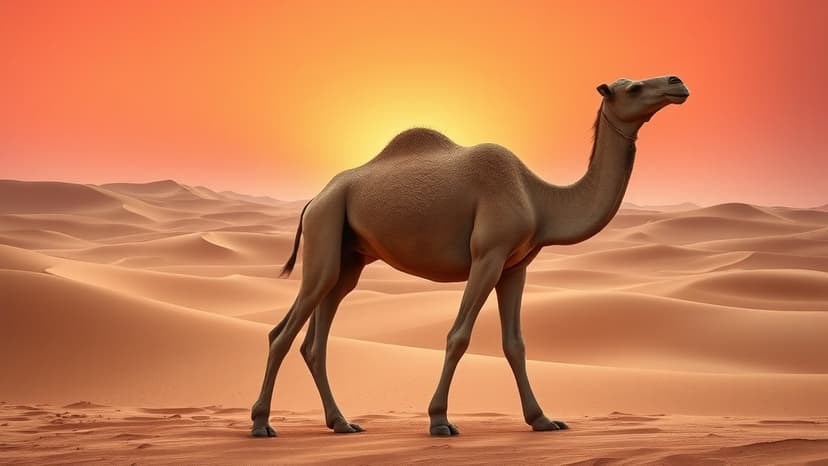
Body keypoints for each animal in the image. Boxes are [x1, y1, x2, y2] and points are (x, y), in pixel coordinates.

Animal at [251, 75, 689, 437]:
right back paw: (261, 424)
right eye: (632, 87)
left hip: (348, 257)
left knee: (316, 339)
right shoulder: (488, 255)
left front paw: (543, 419)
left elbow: (515, 343)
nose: (677, 82)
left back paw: (341, 423)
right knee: (282, 333)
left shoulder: (516, 266)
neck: (539, 199)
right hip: (325, 231)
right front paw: (439, 420)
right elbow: (458, 335)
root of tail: (314, 199)